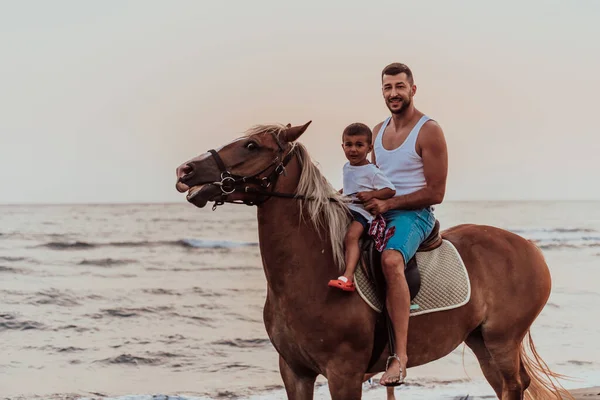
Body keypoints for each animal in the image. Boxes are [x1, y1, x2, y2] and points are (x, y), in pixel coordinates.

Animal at [173, 122, 572, 400]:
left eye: (252, 145)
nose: (185, 171)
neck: (310, 273)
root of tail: (527, 246)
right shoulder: (295, 372)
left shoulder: (344, 374)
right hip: (481, 342)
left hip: (502, 340)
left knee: (514, 384)